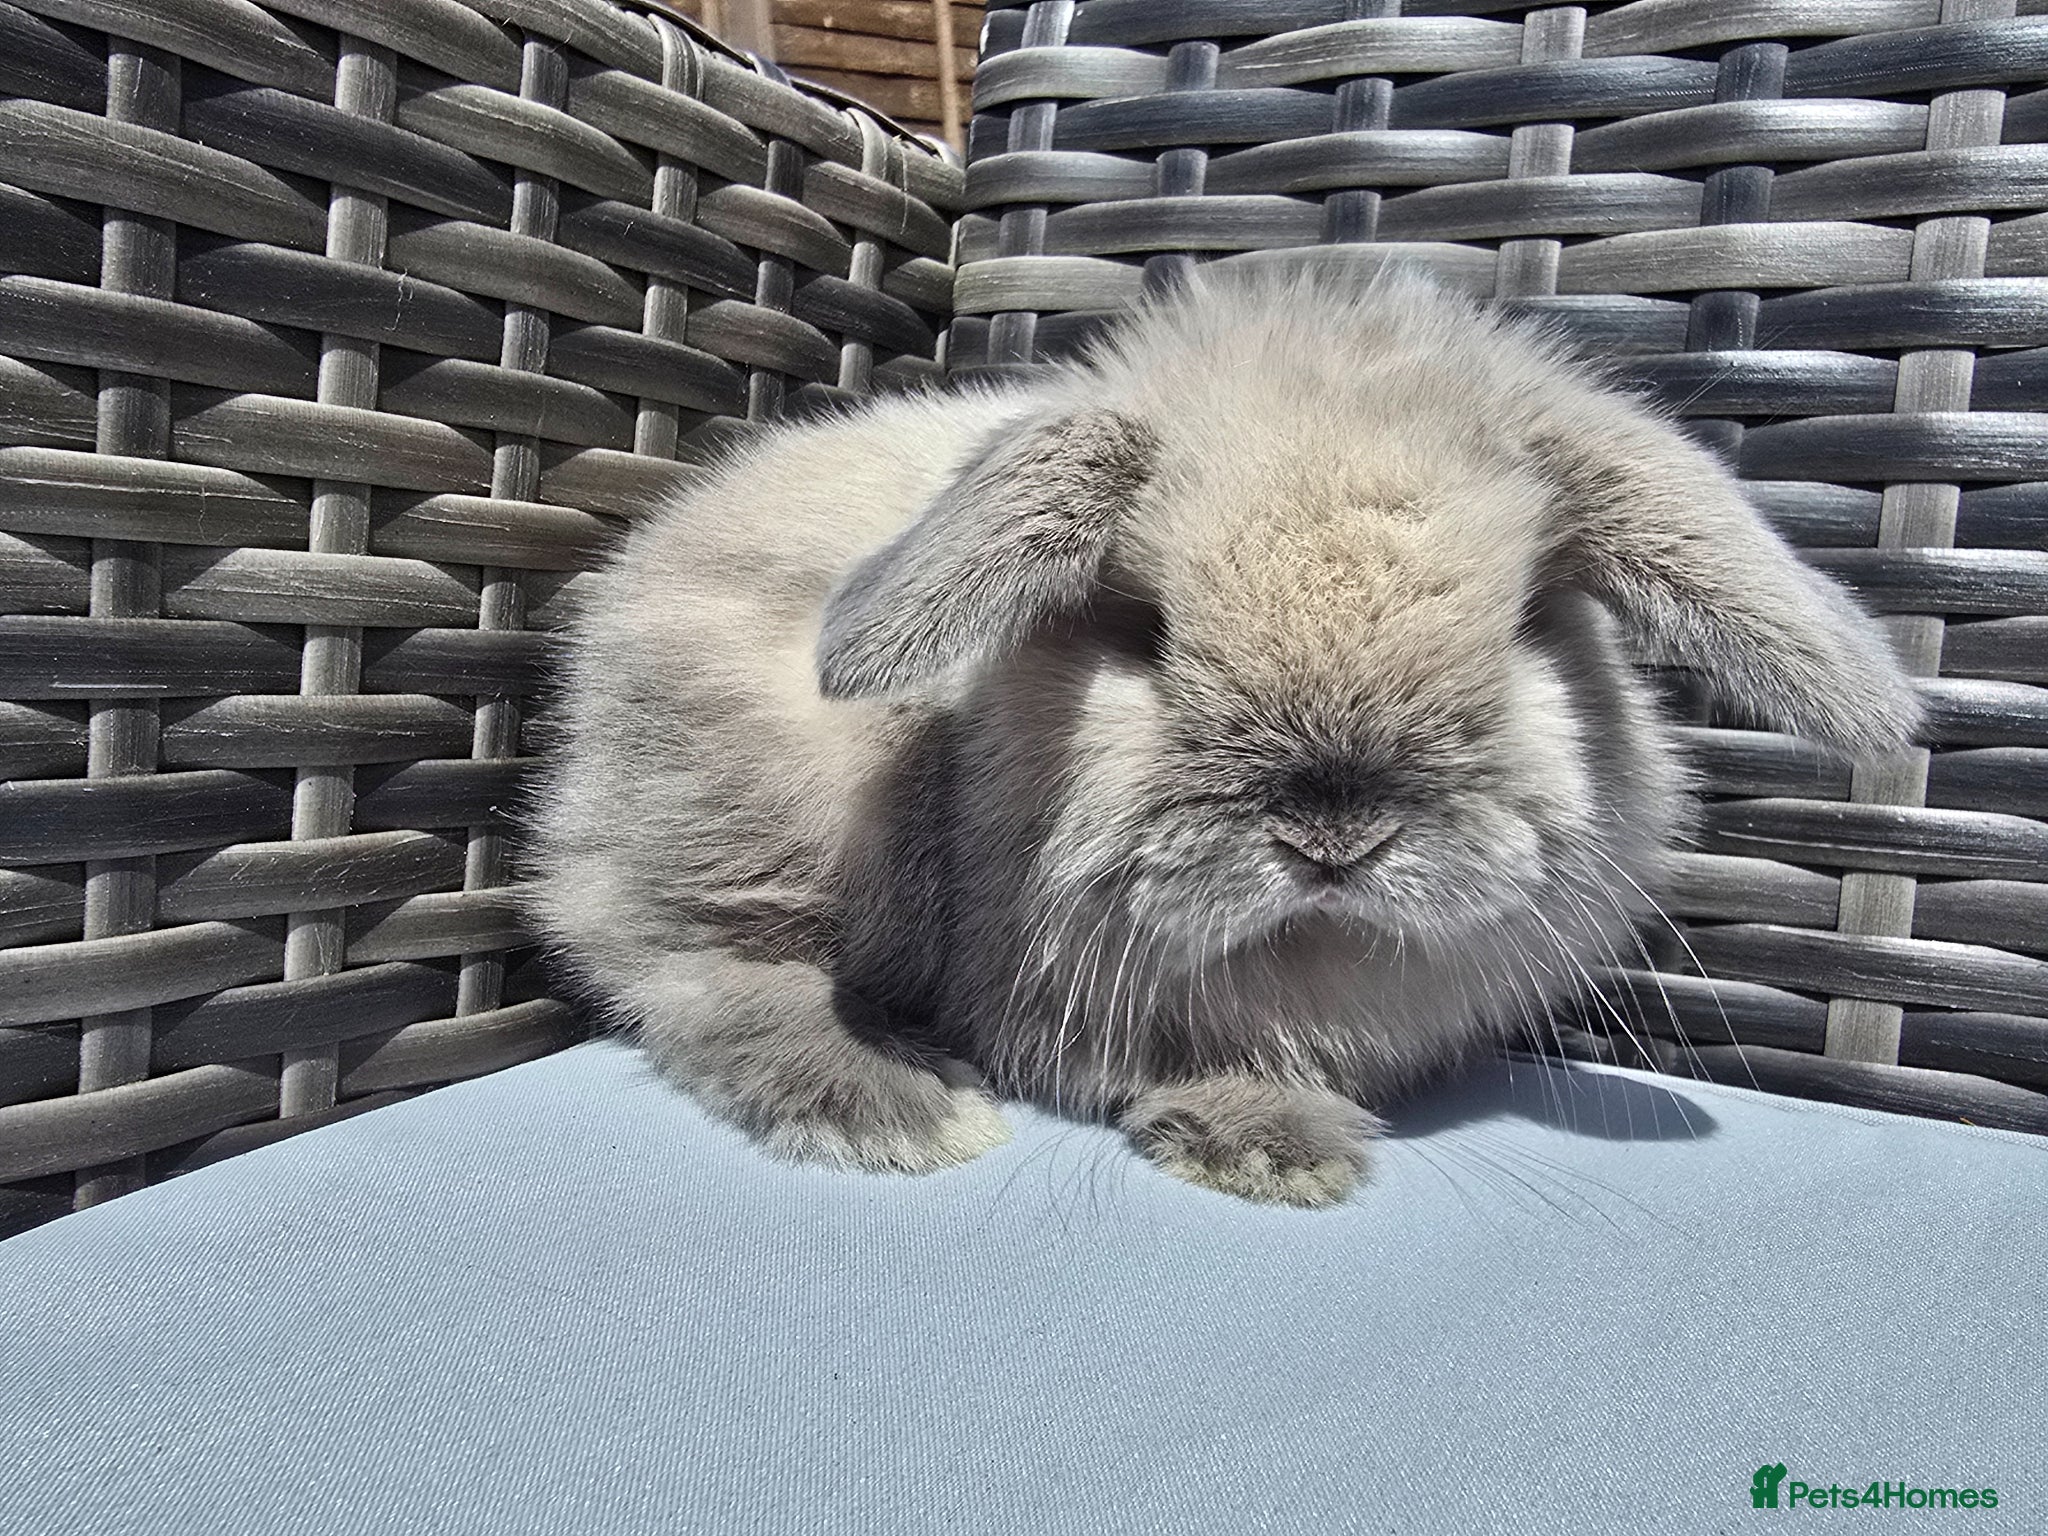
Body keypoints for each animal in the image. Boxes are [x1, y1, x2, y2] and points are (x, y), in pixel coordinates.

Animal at [529, 267, 1920, 1207]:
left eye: (1529, 619)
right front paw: (1276, 1153)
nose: (1334, 831)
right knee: (678, 962)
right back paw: (896, 1110)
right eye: (1142, 629)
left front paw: (1268, 1146)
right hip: (761, 815)